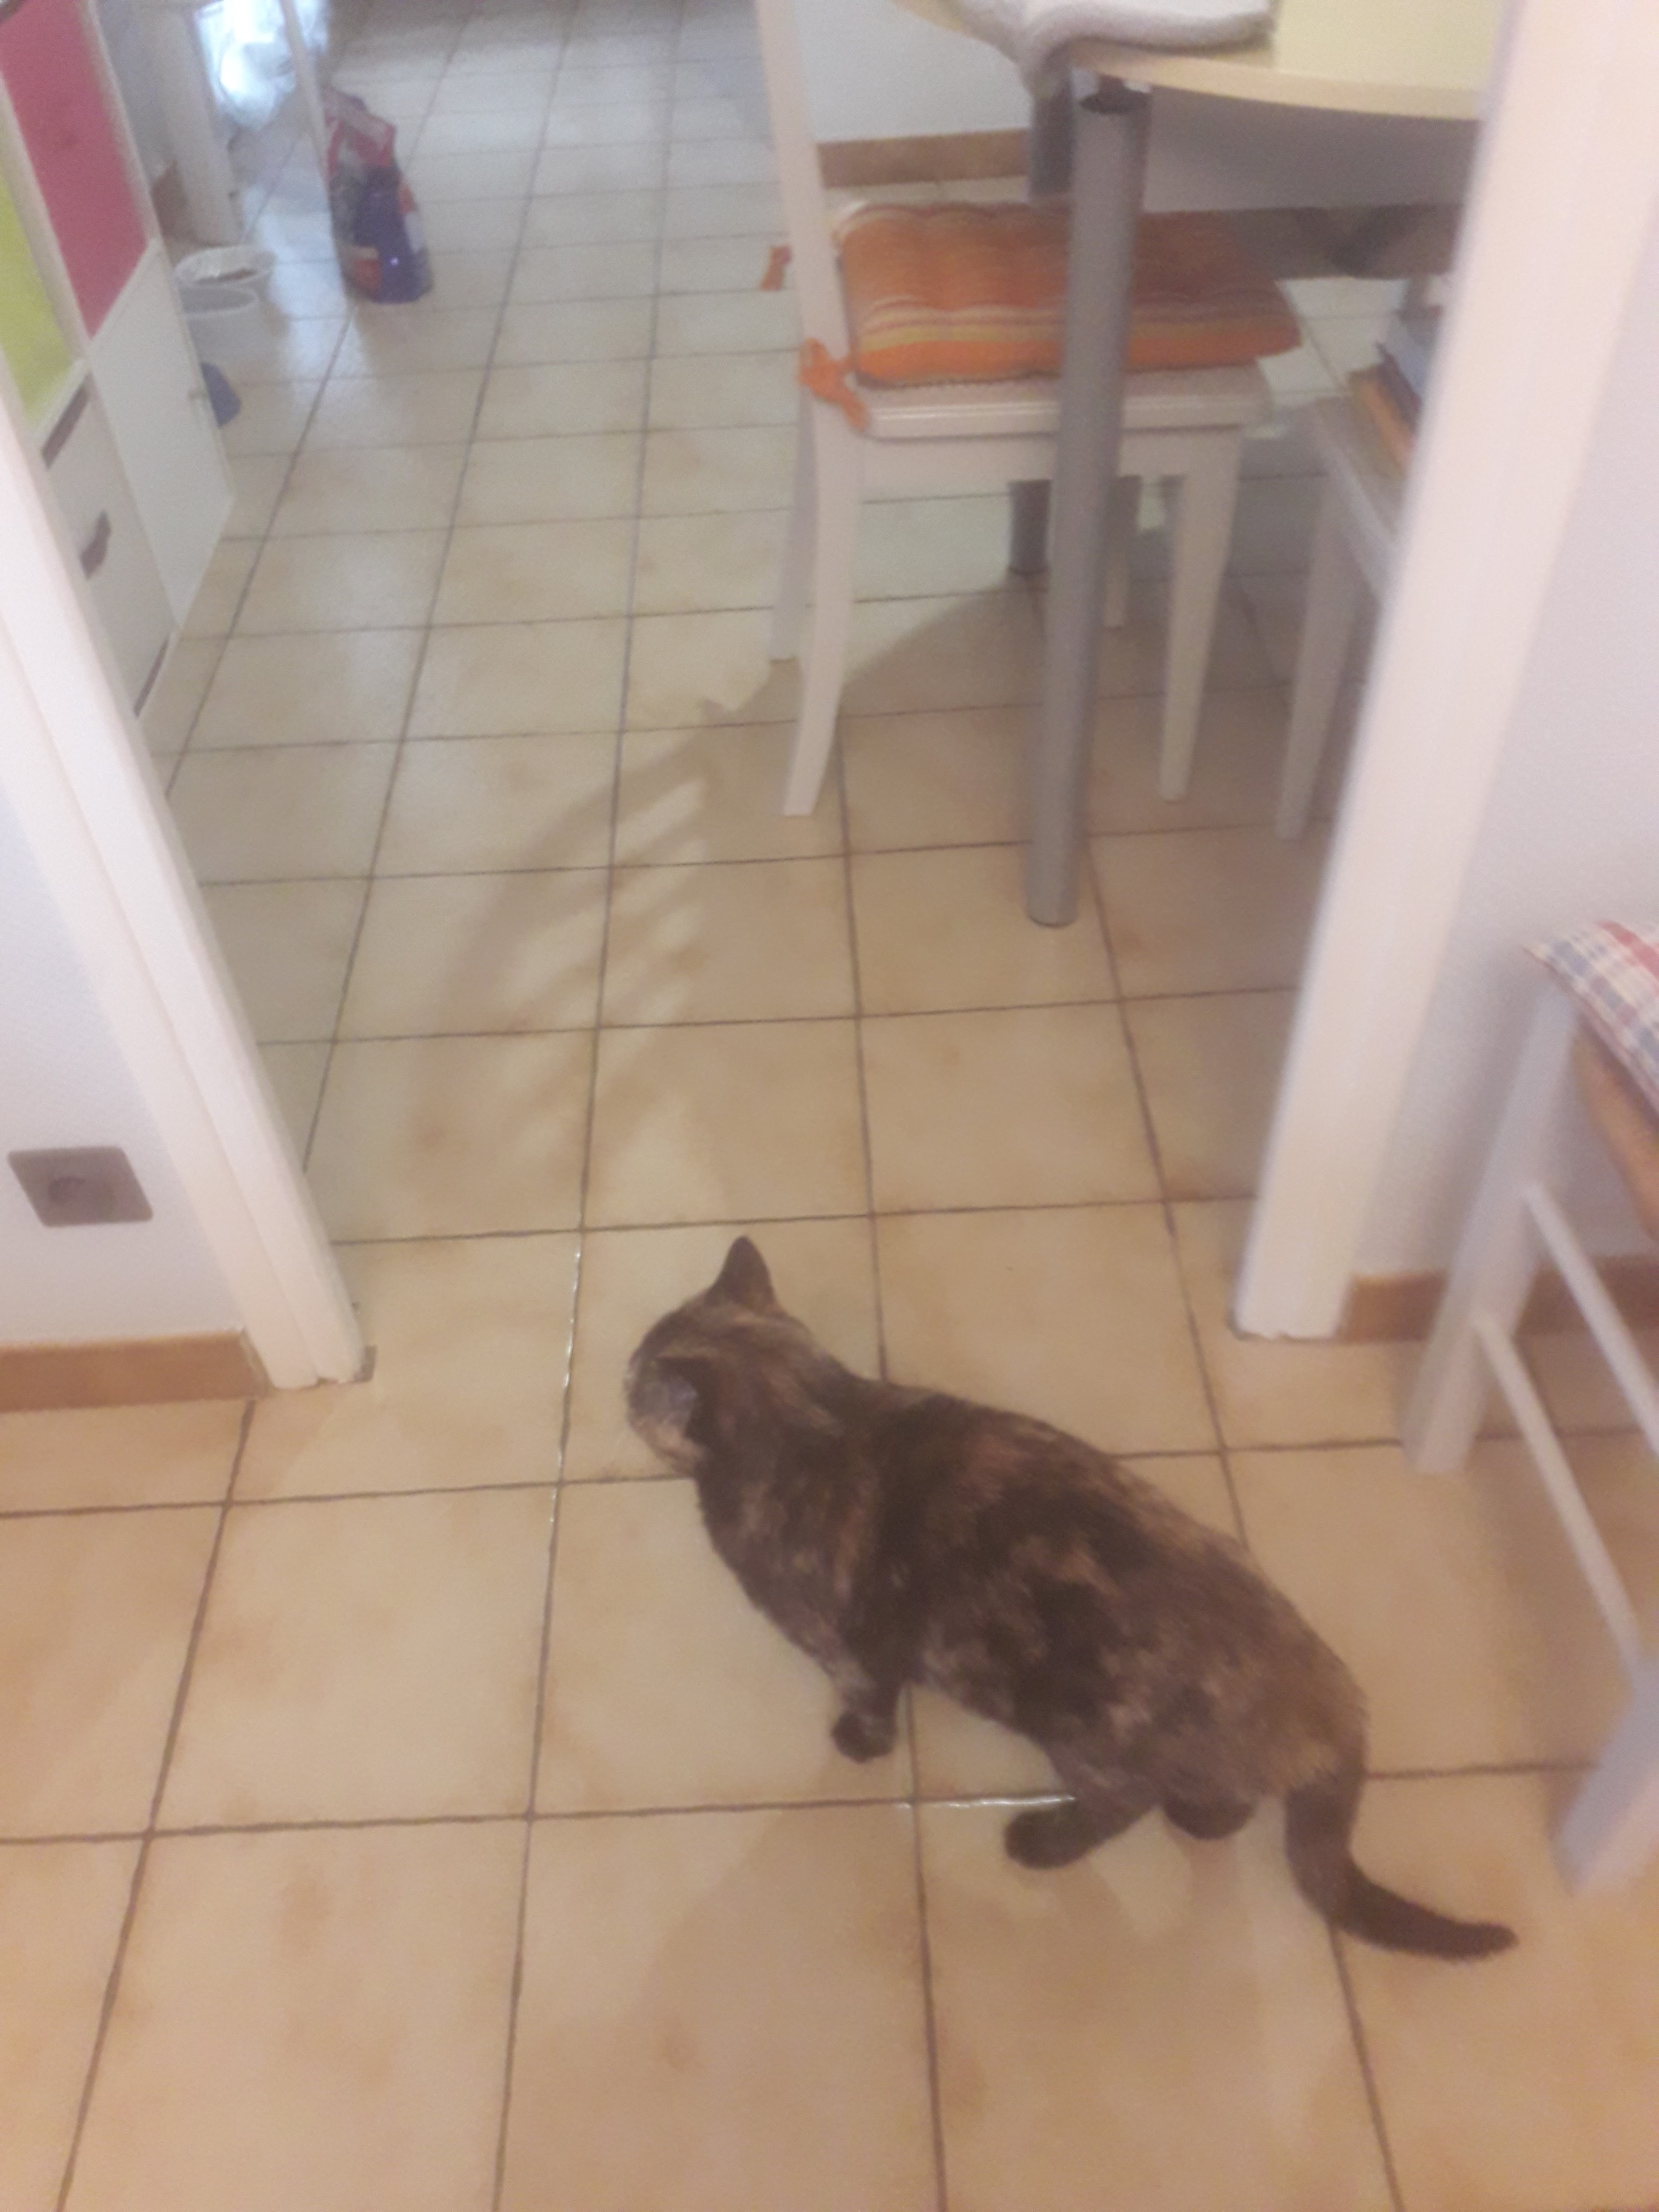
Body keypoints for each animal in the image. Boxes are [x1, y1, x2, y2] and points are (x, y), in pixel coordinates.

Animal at [625, 1236, 1516, 1962]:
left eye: (638, 1378)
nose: (619, 1378)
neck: (811, 1418)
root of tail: (1331, 1694)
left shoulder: (850, 1647)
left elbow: (869, 1698)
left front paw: (858, 1744)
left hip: (1081, 1725)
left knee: (1127, 1801)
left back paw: (1047, 1838)